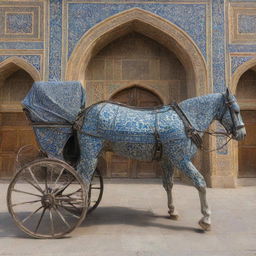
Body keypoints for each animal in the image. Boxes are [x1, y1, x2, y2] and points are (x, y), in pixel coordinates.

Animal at [76, 88, 246, 230]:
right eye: (236, 111)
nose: (242, 134)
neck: (186, 121)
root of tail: (86, 112)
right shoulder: (181, 158)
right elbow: (200, 182)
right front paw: (206, 219)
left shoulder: (167, 159)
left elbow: (169, 184)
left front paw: (172, 210)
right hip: (90, 147)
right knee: (83, 178)